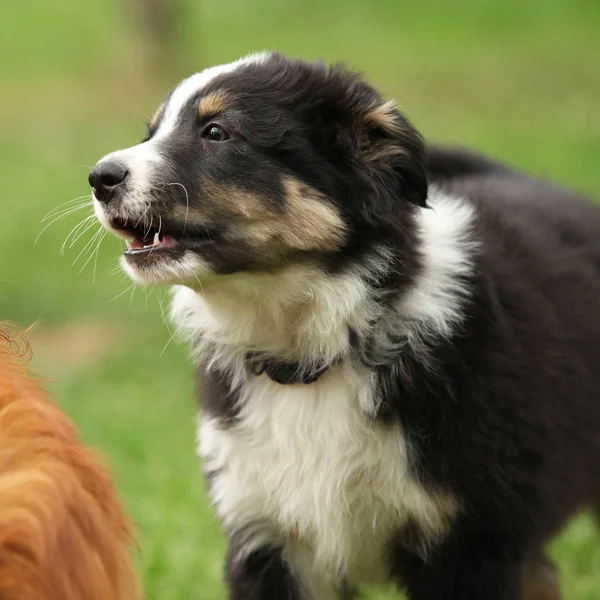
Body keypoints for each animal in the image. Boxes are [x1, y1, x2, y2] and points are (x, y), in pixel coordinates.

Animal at [89, 52, 600, 600]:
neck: (315, 351)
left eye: (217, 132)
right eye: (152, 132)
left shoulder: (469, 543)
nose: (99, 177)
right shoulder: (264, 533)